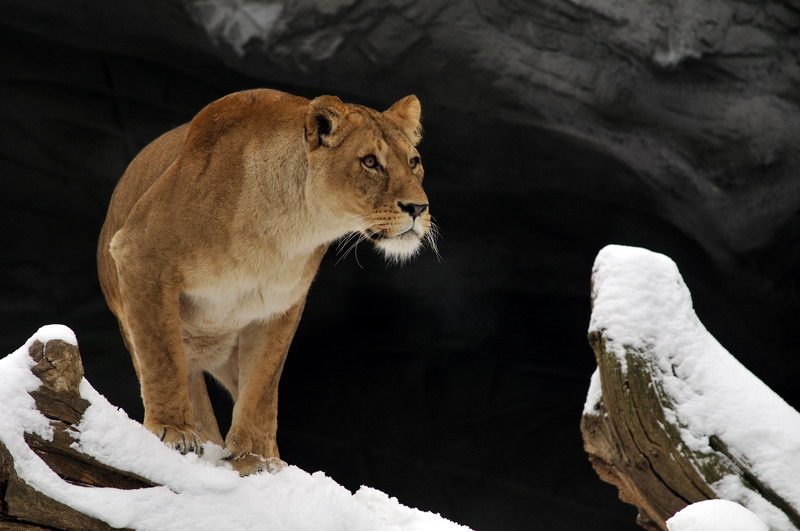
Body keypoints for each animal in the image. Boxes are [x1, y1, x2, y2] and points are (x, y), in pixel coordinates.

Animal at [97, 89, 434, 475]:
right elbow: (163, 360)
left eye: (414, 162)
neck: (291, 224)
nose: (418, 208)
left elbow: (262, 385)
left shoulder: (279, 304)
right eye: (370, 162)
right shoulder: (141, 256)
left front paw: (254, 459)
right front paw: (174, 431)